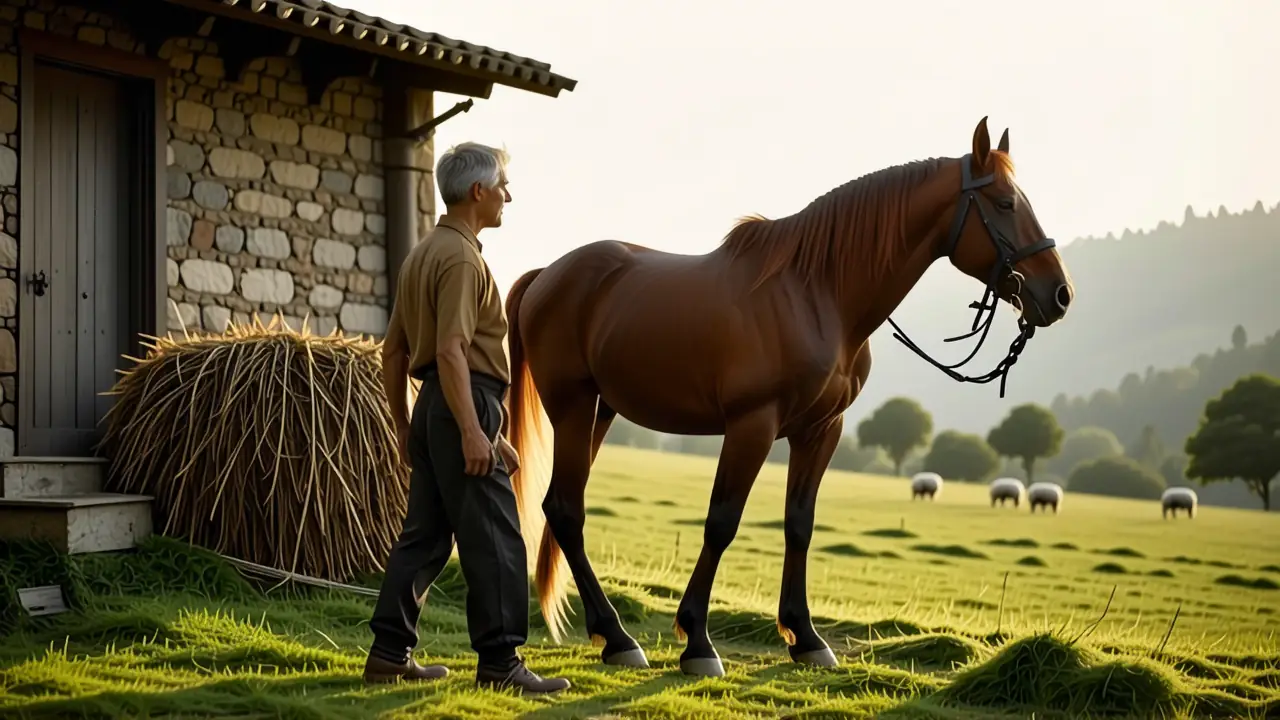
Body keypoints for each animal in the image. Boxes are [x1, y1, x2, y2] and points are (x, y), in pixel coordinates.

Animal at [502, 117, 1075, 677]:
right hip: (573, 408)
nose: (1059, 295)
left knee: (563, 507)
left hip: (602, 410)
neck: (816, 294)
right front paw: (698, 643)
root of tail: (546, 275)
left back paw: (610, 634)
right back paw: (619, 637)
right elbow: (721, 522)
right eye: (1004, 204)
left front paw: (806, 637)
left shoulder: (819, 431)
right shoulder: (751, 426)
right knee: (567, 511)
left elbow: (799, 525)